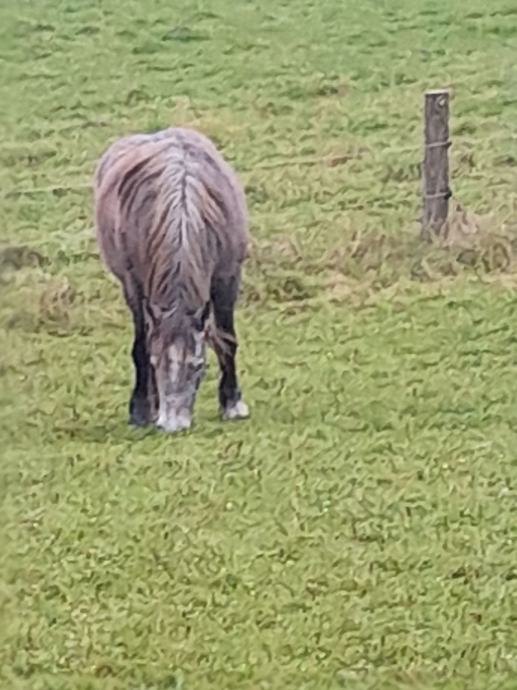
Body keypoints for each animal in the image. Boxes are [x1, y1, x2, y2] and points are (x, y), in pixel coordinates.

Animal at [93, 125, 250, 430]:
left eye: (199, 365)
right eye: (157, 363)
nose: (172, 426)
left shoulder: (228, 277)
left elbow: (227, 340)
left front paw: (233, 404)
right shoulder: (135, 286)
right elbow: (142, 347)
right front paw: (141, 410)